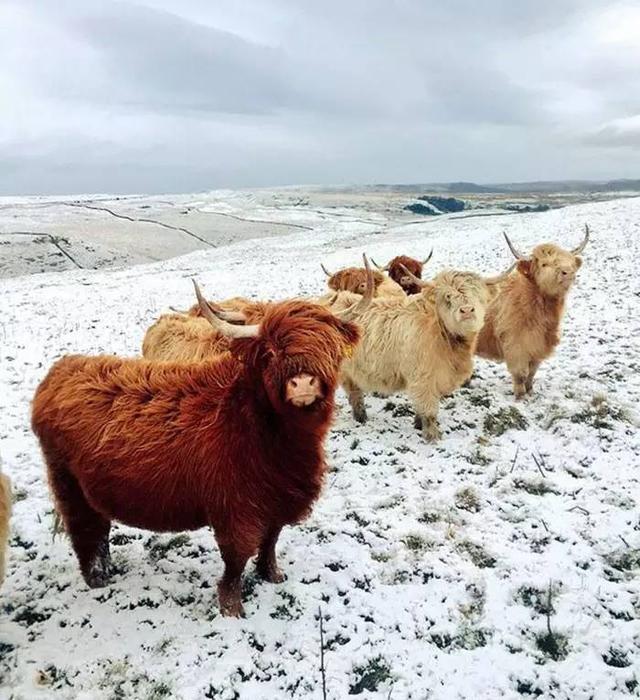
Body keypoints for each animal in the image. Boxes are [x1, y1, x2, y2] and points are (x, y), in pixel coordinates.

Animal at [476, 227, 592, 396]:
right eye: (544, 264)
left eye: (570, 261)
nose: (568, 272)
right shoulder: (516, 347)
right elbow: (521, 375)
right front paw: (520, 396)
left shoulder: (538, 348)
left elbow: (532, 373)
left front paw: (530, 391)